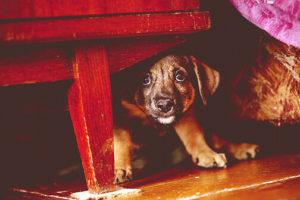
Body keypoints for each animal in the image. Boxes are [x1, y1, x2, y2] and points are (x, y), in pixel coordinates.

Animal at [112, 54, 227, 183]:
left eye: (180, 76)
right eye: (145, 80)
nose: (164, 105)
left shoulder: (186, 116)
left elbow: (193, 136)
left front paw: (207, 153)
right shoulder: (120, 116)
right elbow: (122, 143)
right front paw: (120, 169)